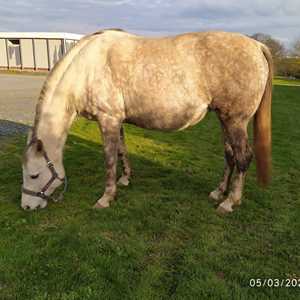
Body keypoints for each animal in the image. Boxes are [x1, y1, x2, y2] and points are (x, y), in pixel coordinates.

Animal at [20, 29, 272, 214]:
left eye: (34, 175)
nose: (26, 206)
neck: (86, 69)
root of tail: (256, 45)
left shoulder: (107, 119)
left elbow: (109, 158)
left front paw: (106, 197)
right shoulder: (116, 119)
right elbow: (122, 150)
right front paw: (125, 179)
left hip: (235, 121)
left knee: (242, 157)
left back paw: (230, 202)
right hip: (224, 119)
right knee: (230, 155)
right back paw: (219, 192)